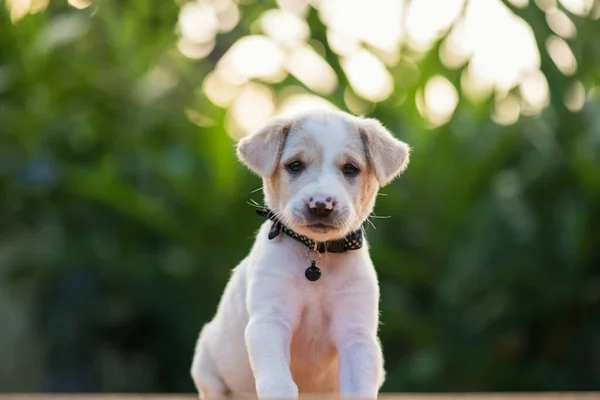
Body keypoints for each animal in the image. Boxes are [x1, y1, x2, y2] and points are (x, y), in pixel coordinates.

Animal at [190, 109, 410, 400]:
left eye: (350, 169)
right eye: (295, 166)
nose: (321, 204)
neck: (315, 254)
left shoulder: (356, 335)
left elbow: (359, 387)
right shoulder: (270, 321)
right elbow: (279, 384)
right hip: (207, 364)